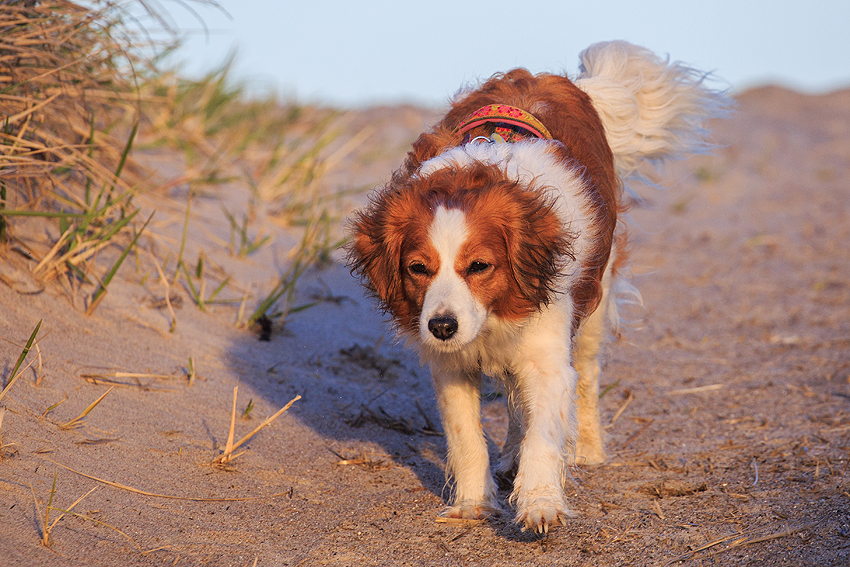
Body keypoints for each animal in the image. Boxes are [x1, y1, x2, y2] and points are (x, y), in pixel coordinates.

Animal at [344, 41, 724, 532]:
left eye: (479, 266)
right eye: (417, 268)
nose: (442, 327)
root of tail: (549, 78)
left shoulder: (546, 351)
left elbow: (544, 432)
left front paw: (540, 502)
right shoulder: (452, 366)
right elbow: (468, 438)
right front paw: (474, 503)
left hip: (595, 301)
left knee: (586, 376)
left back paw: (587, 448)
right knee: (514, 403)